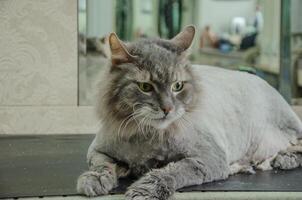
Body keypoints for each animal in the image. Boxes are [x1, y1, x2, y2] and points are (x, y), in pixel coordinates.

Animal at [76, 25, 302, 199]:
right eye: (145, 87)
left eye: (177, 86)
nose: (167, 109)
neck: (148, 137)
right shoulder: (98, 150)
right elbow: (101, 166)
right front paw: (95, 180)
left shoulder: (208, 159)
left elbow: (168, 172)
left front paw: (142, 191)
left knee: (296, 146)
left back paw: (283, 159)